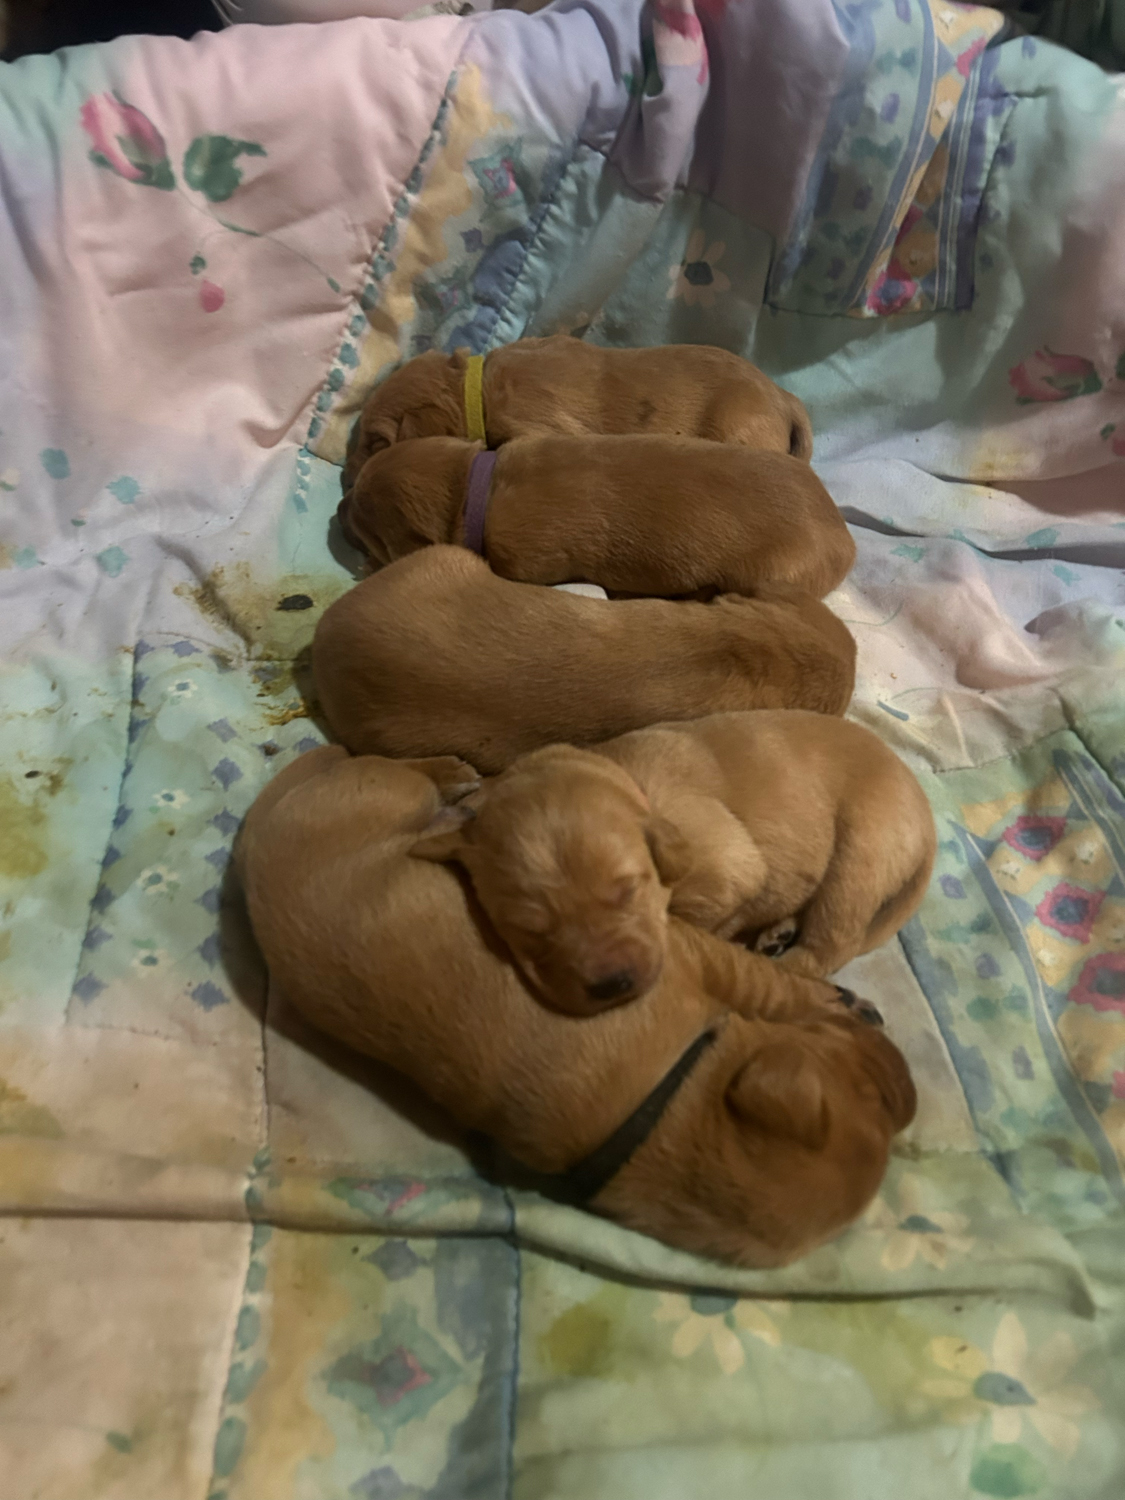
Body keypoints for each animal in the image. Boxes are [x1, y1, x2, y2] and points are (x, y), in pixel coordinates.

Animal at [236, 745, 916, 1267]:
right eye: (870, 1087)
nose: (908, 1090)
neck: (662, 1099)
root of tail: (258, 829)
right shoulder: (692, 957)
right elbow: (768, 985)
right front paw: (836, 1002)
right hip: (385, 793)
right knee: (374, 762)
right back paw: (449, 771)